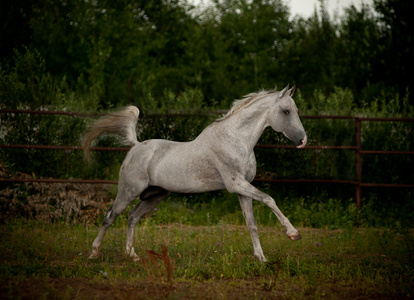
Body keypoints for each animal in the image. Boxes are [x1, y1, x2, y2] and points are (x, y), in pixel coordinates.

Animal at [82, 85, 306, 262]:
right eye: (286, 111)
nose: (303, 141)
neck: (237, 140)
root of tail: (136, 145)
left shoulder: (243, 190)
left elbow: (251, 224)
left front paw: (261, 258)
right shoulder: (236, 184)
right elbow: (269, 199)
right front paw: (293, 233)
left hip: (155, 196)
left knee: (132, 217)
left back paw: (133, 255)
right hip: (128, 192)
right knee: (110, 216)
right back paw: (94, 253)